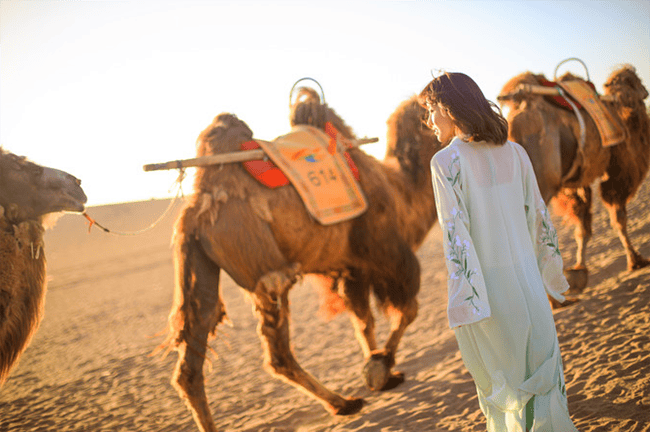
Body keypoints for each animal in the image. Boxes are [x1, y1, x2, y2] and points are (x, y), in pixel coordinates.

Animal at [159, 88, 440, 432]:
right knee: (277, 353)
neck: (402, 191)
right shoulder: (389, 255)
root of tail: (197, 209)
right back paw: (343, 403)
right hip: (266, 267)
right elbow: (407, 311)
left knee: (194, 349)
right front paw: (379, 367)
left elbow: (363, 321)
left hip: (202, 267)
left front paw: (381, 371)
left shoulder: (353, 268)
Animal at [498, 64, 644, 296]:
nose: (645, 92)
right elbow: (618, 216)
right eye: (637, 82)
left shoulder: (579, 179)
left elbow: (582, 224)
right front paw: (635, 260)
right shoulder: (615, 167)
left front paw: (579, 271)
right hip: (540, 184)